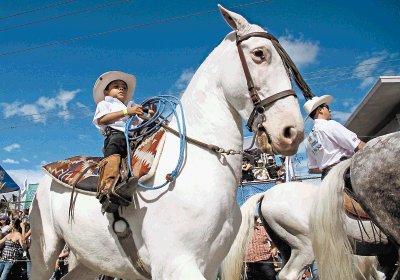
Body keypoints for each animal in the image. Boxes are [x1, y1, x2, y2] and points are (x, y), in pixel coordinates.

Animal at [30, 5, 306, 280]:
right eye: (260, 53)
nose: (292, 131)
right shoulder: (177, 263)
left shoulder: (209, 265)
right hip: (44, 254)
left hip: (90, 261)